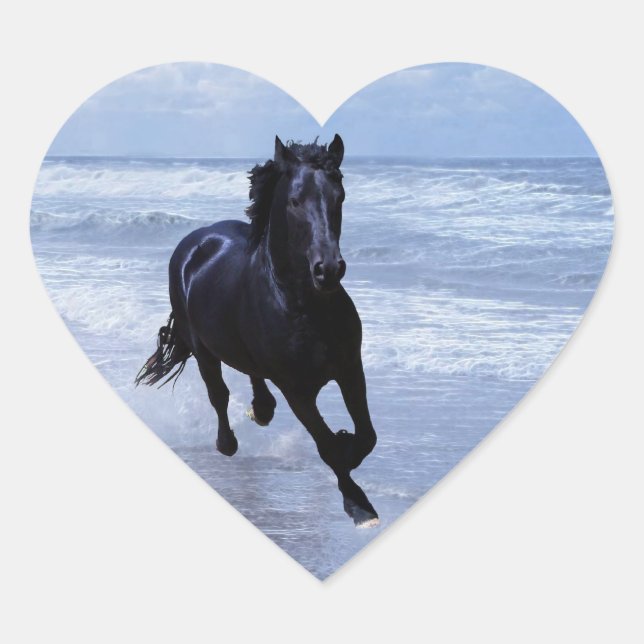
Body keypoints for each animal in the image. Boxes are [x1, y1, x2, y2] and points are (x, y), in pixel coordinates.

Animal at [136, 135, 379, 527]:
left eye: (339, 196)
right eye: (295, 201)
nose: (328, 270)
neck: (304, 307)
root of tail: (195, 241)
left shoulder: (350, 369)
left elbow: (367, 436)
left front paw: (349, 446)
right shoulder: (297, 390)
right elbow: (327, 446)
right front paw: (359, 505)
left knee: (252, 374)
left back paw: (261, 410)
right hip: (201, 347)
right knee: (217, 394)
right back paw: (227, 443)